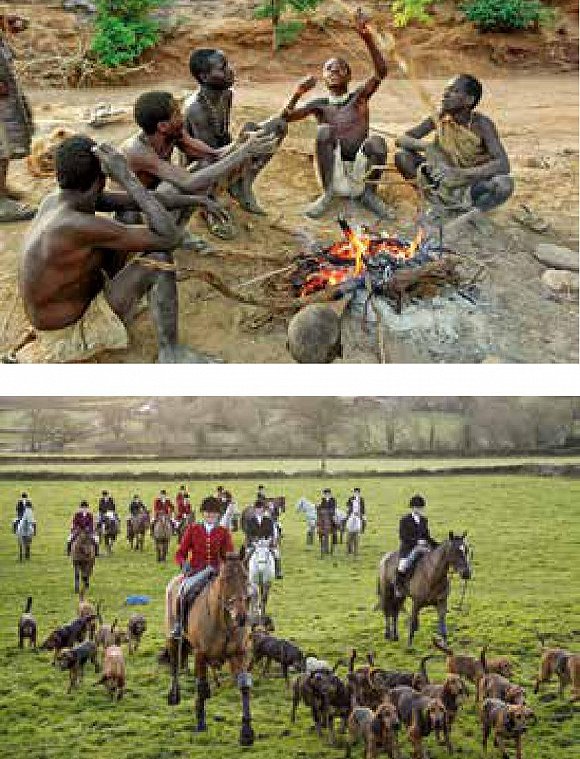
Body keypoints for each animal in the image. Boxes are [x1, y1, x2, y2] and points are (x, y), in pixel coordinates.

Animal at [163, 548, 254, 744]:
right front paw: (200, 722)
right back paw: (174, 695)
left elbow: (244, 686)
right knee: (174, 665)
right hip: (173, 638)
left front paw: (246, 732)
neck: (224, 622)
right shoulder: (200, 654)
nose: (241, 617)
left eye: (245, 576)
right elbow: (201, 686)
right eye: (225, 578)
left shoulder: (239, 654)